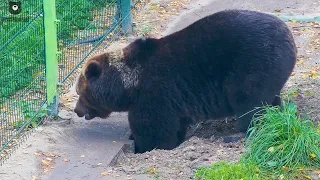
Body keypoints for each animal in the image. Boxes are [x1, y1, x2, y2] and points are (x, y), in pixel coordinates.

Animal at [74, 9, 296, 153]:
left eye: (80, 92)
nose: (77, 110)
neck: (128, 84)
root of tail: (288, 35)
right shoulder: (173, 98)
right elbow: (176, 123)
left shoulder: (154, 92)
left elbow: (154, 128)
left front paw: (143, 144)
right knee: (269, 100)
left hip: (252, 62)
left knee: (249, 102)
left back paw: (239, 134)